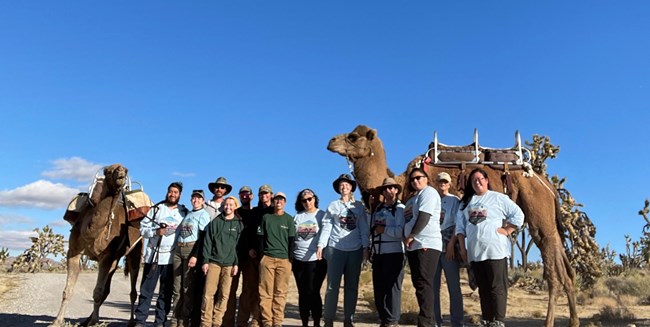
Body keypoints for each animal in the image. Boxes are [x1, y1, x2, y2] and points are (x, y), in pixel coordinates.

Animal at [51, 164, 143, 327]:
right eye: (108, 171)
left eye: (126, 170)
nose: (121, 173)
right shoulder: (74, 251)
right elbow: (68, 290)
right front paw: (57, 321)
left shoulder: (106, 256)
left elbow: (97, 292)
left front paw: (95, 321)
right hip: (115, 259)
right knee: (108, 288)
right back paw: (86, 320)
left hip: (135, 251)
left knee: (132, 289)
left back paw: (130, 322)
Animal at [330, 125, 576, 327]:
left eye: (353, 136)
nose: (331, 141)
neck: (403, 183)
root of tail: (547, 185)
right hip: (546, 220)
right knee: (565, 268)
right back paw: (572, 321)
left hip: (539, 214)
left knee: (553, 268)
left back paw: (549, 323)